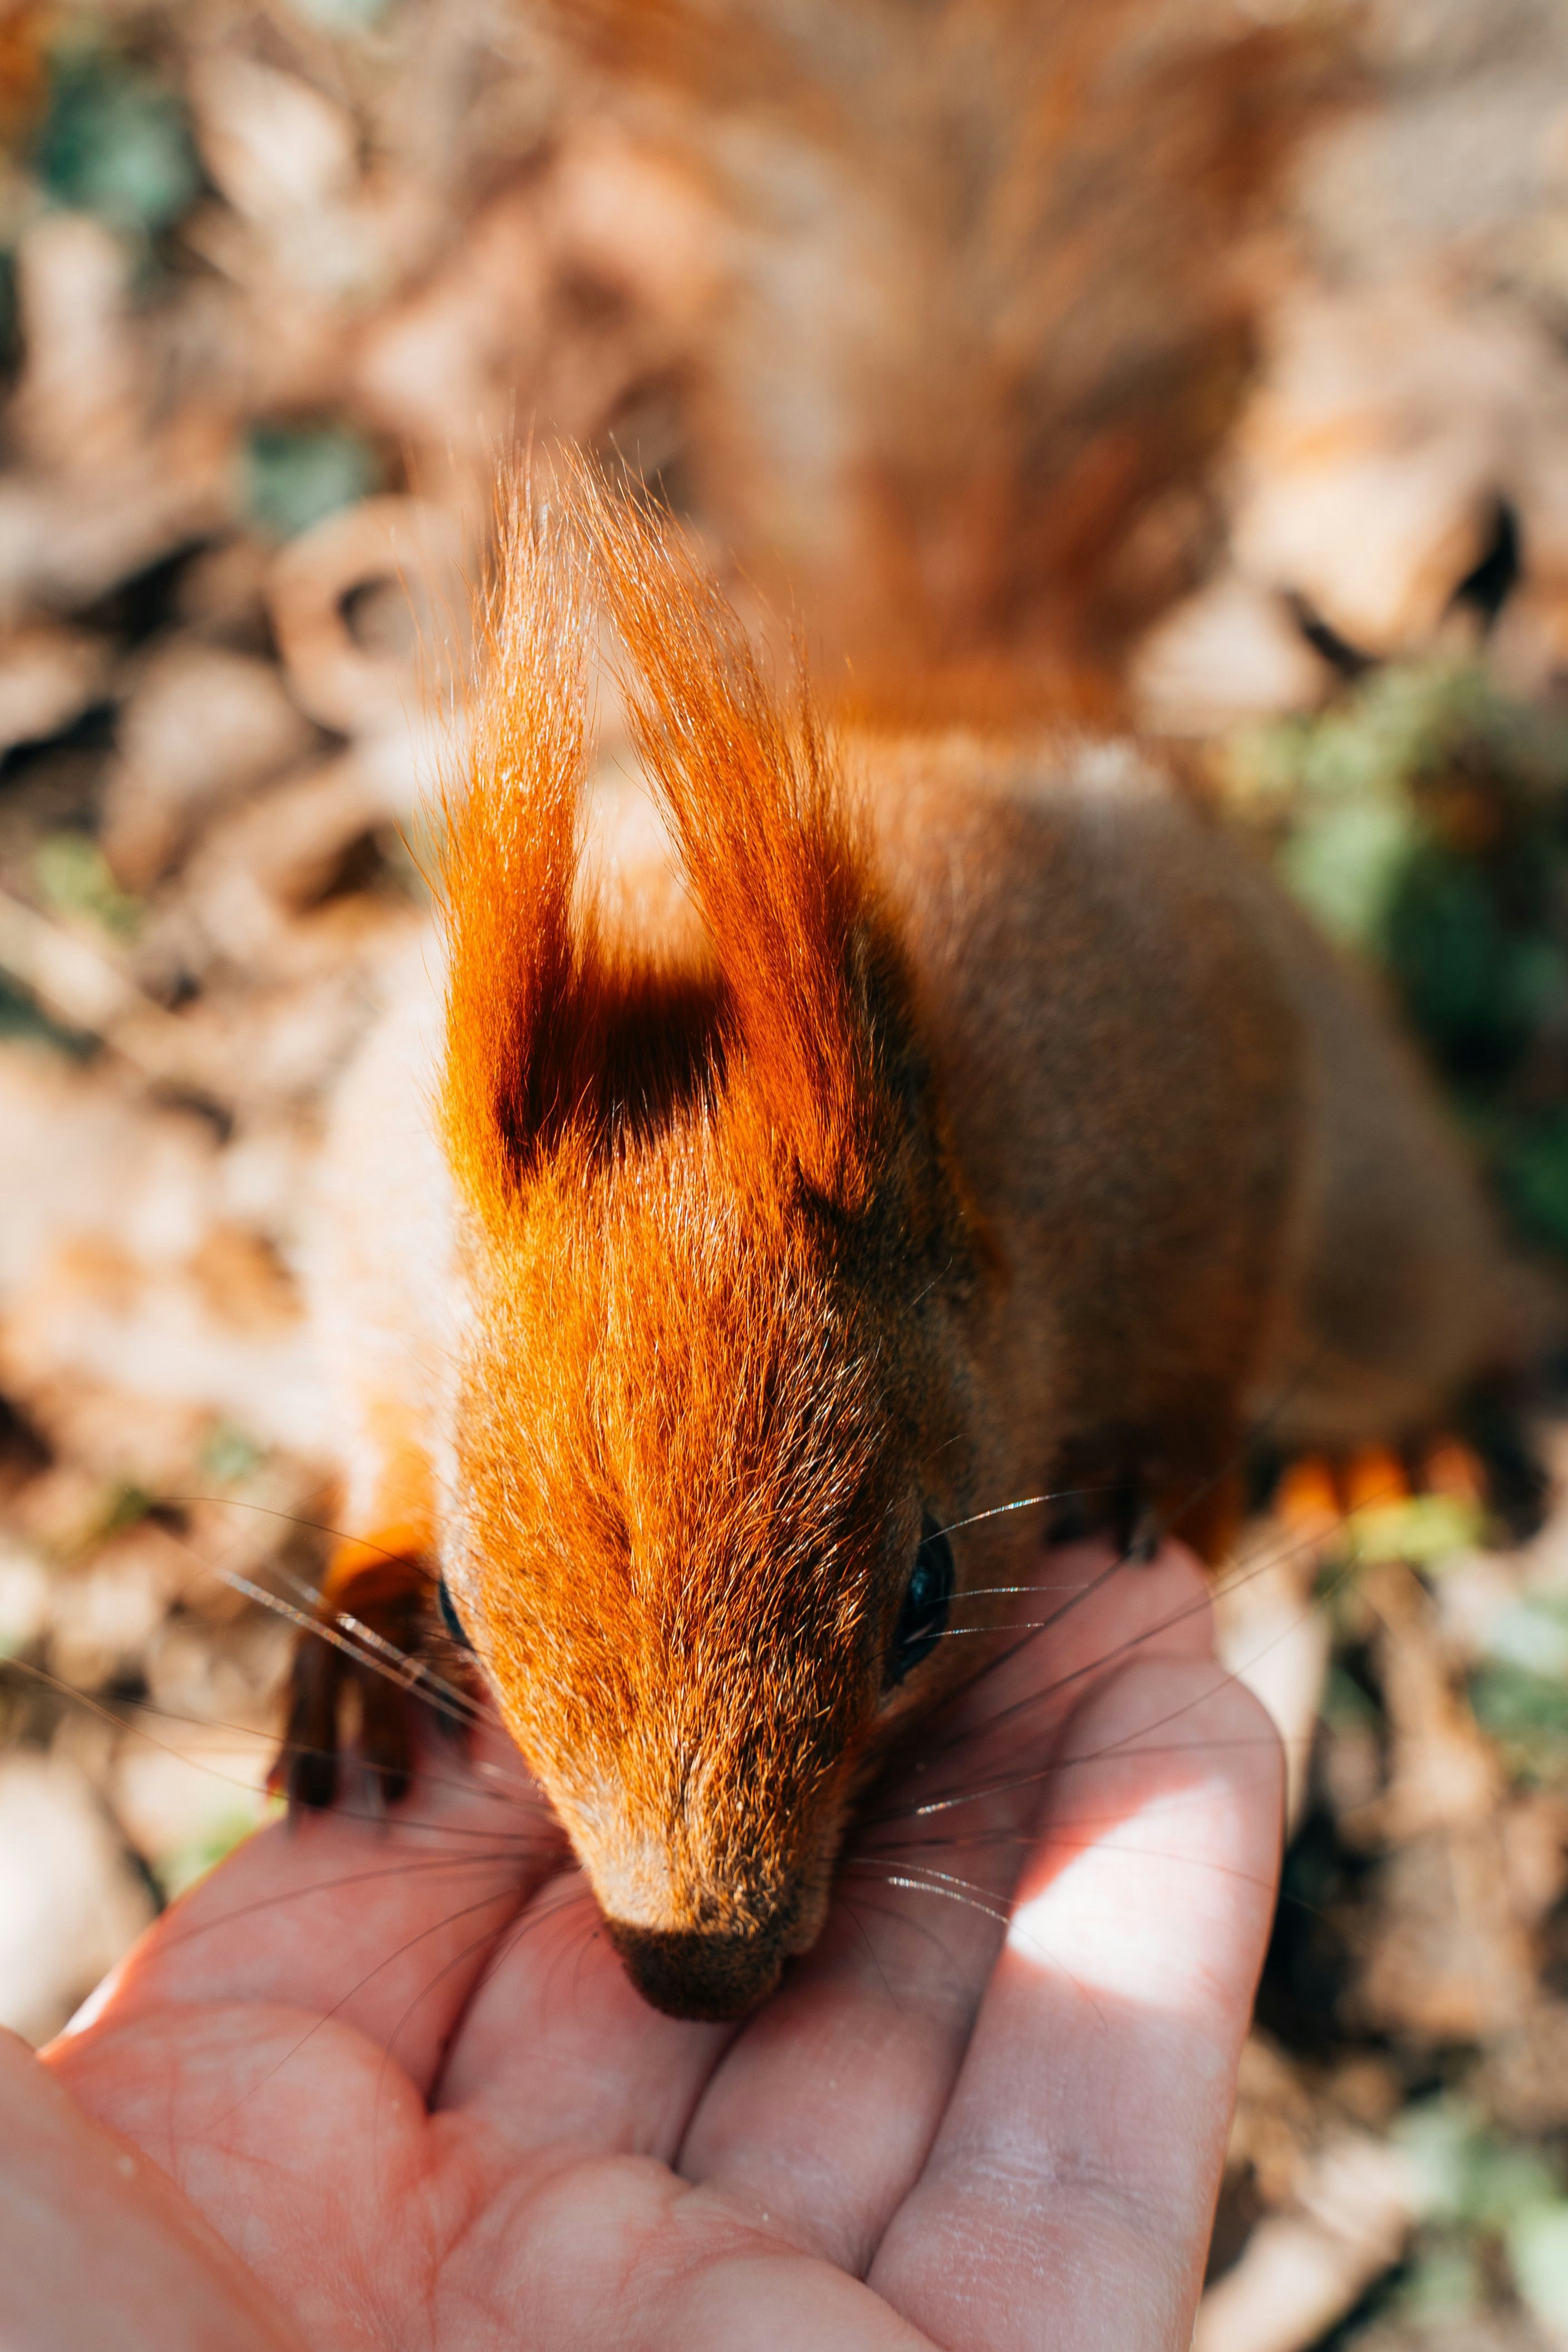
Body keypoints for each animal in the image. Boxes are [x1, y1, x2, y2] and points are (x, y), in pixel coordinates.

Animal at [274, 472, 1533, 2023]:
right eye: (461, 1603)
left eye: (928, 1595)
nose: (702, 1971)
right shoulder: (378, 1221)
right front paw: (365, 1618)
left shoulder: (1192, 1076)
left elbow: (1211, 1309)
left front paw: (1154, 1469)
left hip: (1374, 1234)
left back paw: (1389, 1444)